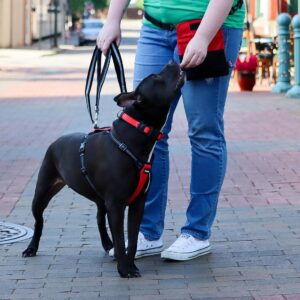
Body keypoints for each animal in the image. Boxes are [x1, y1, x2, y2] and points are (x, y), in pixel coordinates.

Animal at [22, 62, 185, 278]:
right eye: (155, 77)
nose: (172, 62)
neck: (136, 134)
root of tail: (56, 141)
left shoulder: (137, 204)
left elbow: (132, 239)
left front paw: (130, 265)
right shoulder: (116, 204)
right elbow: (121, 238)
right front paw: (124, 269)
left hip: (100, 198)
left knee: (100, 218)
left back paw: (108, 245)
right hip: (42, 192)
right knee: (38, 221)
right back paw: (31, 248)